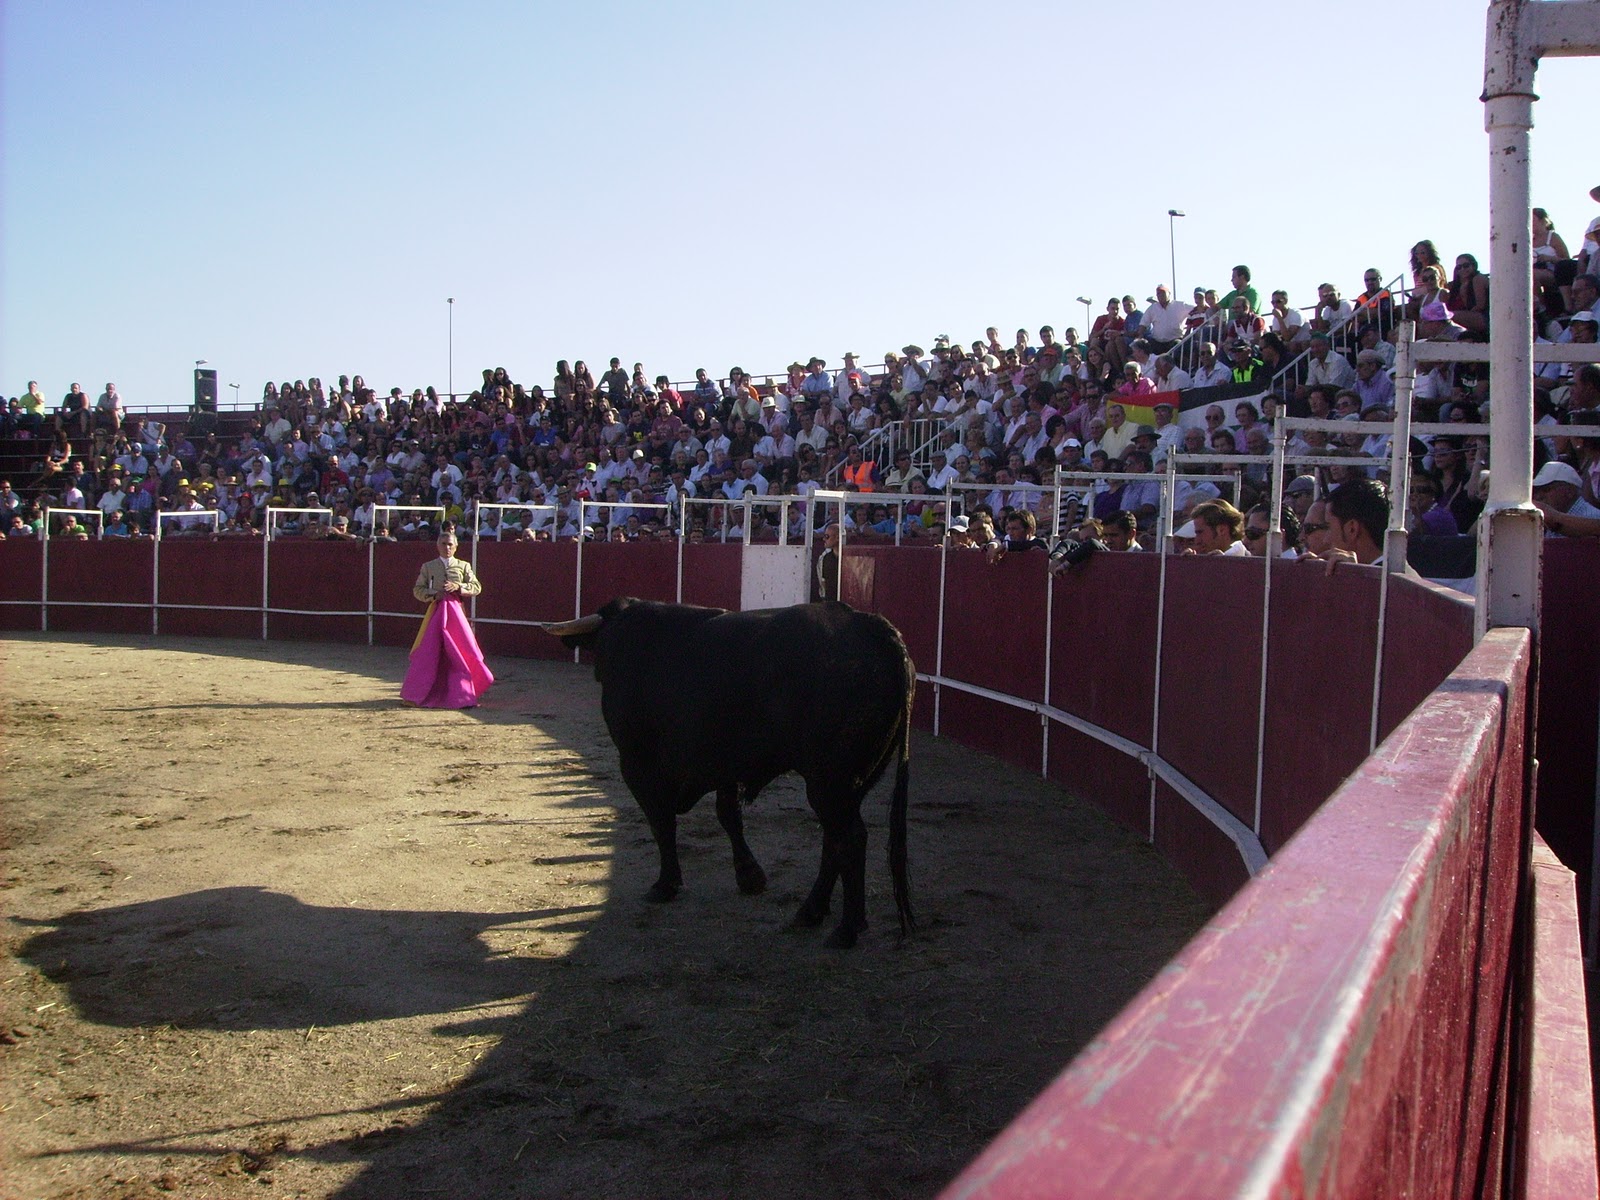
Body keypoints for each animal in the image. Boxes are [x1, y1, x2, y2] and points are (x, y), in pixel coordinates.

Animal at [540, 598, 908, 947]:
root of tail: (873, 626)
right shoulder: (725, 764)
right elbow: (728, 815)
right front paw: (750, 876)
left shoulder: (637, 763)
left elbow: (661, 822)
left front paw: (665, 884)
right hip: (851, 782)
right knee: (834, 838)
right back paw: (810, 912)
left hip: (829, 780)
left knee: (850, 838)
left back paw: (847, 929)